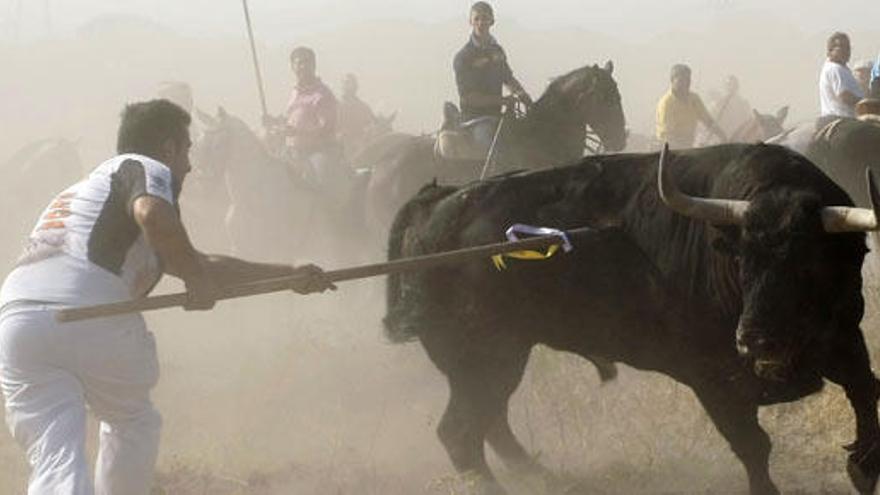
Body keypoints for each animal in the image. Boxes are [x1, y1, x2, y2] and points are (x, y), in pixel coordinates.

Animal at [386, 141, 880, 494]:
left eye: (808, 262)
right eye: (742, 259)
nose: (755, 340)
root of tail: (437, 203)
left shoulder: (845, 341)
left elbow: (867, 395)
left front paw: (861, 467)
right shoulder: (712, 380)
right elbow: (753, 446)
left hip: (498, 361)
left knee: (489, 423)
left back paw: (544, 477)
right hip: (482, 360)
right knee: (461, 433)